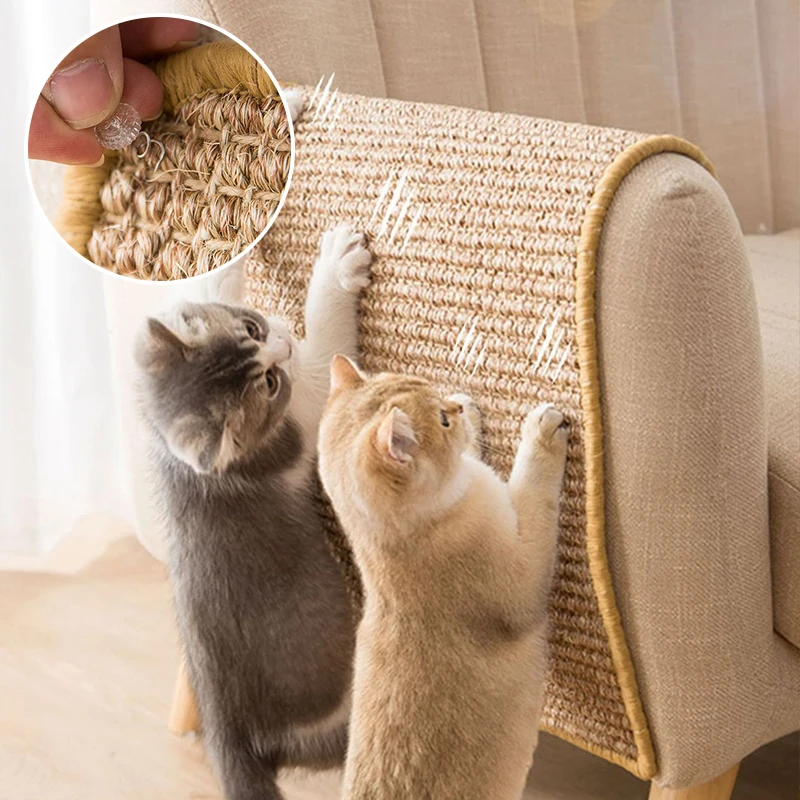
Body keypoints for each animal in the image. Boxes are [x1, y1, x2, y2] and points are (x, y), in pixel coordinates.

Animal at [134, 224, 372, 800]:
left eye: (250, 325)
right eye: (267, 384)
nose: (283, 342)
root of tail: (230, 735)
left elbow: (210, 280)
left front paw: (233, 251)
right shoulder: (301, 416)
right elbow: (325, 343)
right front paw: (336, 266)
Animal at [318, 356, 568, 800]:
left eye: (438, 398)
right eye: (441, 421)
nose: (452, 407)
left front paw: (470, 410)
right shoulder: (525, 579)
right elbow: (533, 488)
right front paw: (541, 430)